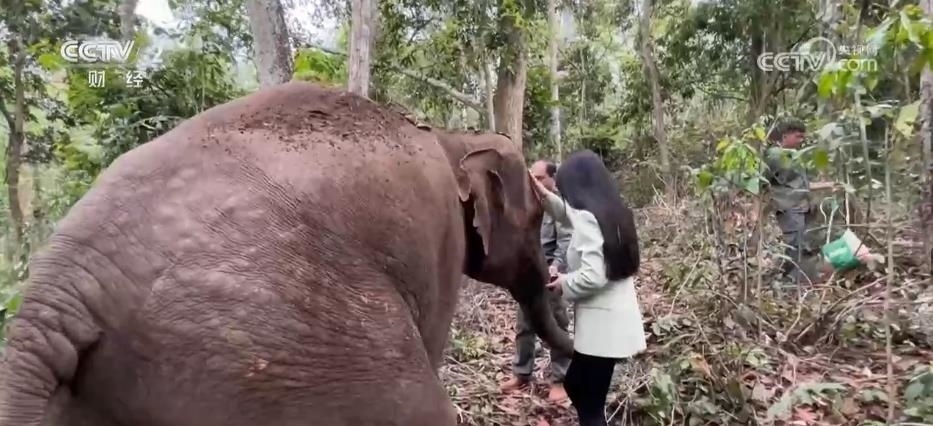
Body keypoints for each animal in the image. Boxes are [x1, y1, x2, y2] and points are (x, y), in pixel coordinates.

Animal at [0, 81, 573, 426]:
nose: (553, 278)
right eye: (535, 218)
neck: (452, 137)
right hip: (273, 349)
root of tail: (55, 300)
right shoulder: (440, 240)